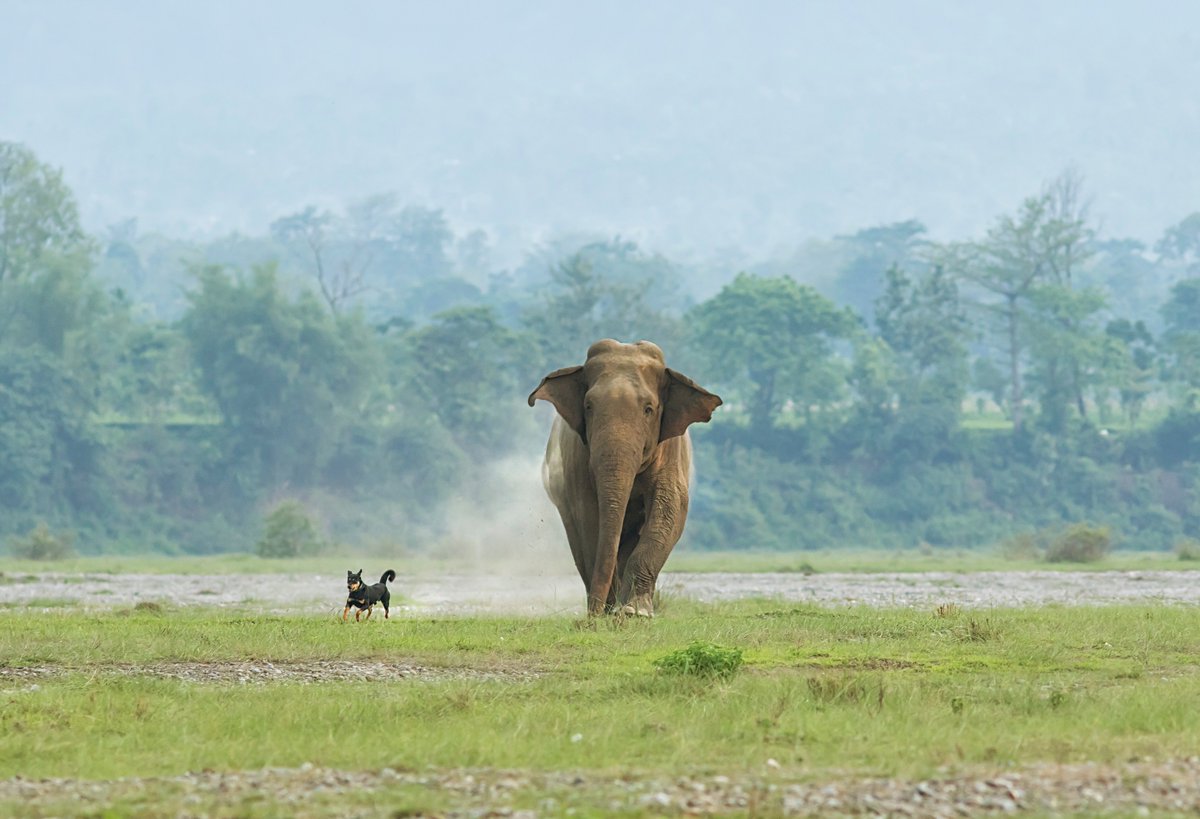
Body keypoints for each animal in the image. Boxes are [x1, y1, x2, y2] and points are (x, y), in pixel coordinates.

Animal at [527, 339, 721, 616]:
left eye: (649, 409)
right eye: (588, 407)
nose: (591, 616)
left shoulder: (671, 453)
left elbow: (670, 510)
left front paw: (635, 612)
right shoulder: (575, 459)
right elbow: (589, 518)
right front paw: (612, 611)